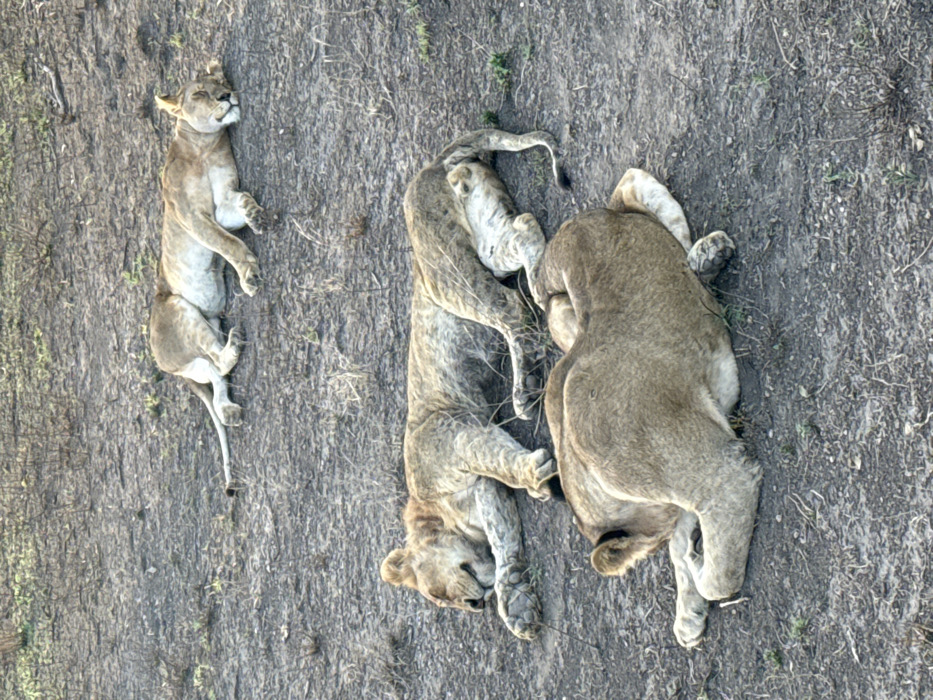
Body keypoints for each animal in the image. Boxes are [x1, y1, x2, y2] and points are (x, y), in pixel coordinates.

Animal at [148, 60, 267, 496]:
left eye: (221, 81)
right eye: (199, 93)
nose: (226, 96)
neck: (205, 147)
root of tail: (167, 366)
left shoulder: (222, 203)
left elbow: (239, 208)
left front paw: (256, 216)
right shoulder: (194, 218)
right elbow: (227, 244)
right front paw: (249, 274)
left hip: (207, 328)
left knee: (216, 379)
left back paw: (229, 410)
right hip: (181, 312)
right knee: (218, 361)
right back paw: (234, 345)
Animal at [380, 130, 566, 639]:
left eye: (439, 598)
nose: (475, 605)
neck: (433, 509)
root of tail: (430, 165)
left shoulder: (457, 436)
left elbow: (498, 460)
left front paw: (537, 478)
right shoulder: (484, 491)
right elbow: (505, 540)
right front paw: (516, 603)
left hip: (446, 272)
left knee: (509, 307)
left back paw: (527, 387)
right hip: (486, 234)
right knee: (522, 226)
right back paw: (540, 281)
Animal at [535, 168, 760, 647]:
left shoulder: (724, 479)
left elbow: (716, 580)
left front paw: (697, 570)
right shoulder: (685, 501)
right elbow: (681, 545)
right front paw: (688, 611)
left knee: (629, 183)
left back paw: (706, 257)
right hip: (561, 319)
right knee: (631, 188)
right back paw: (705, 259)